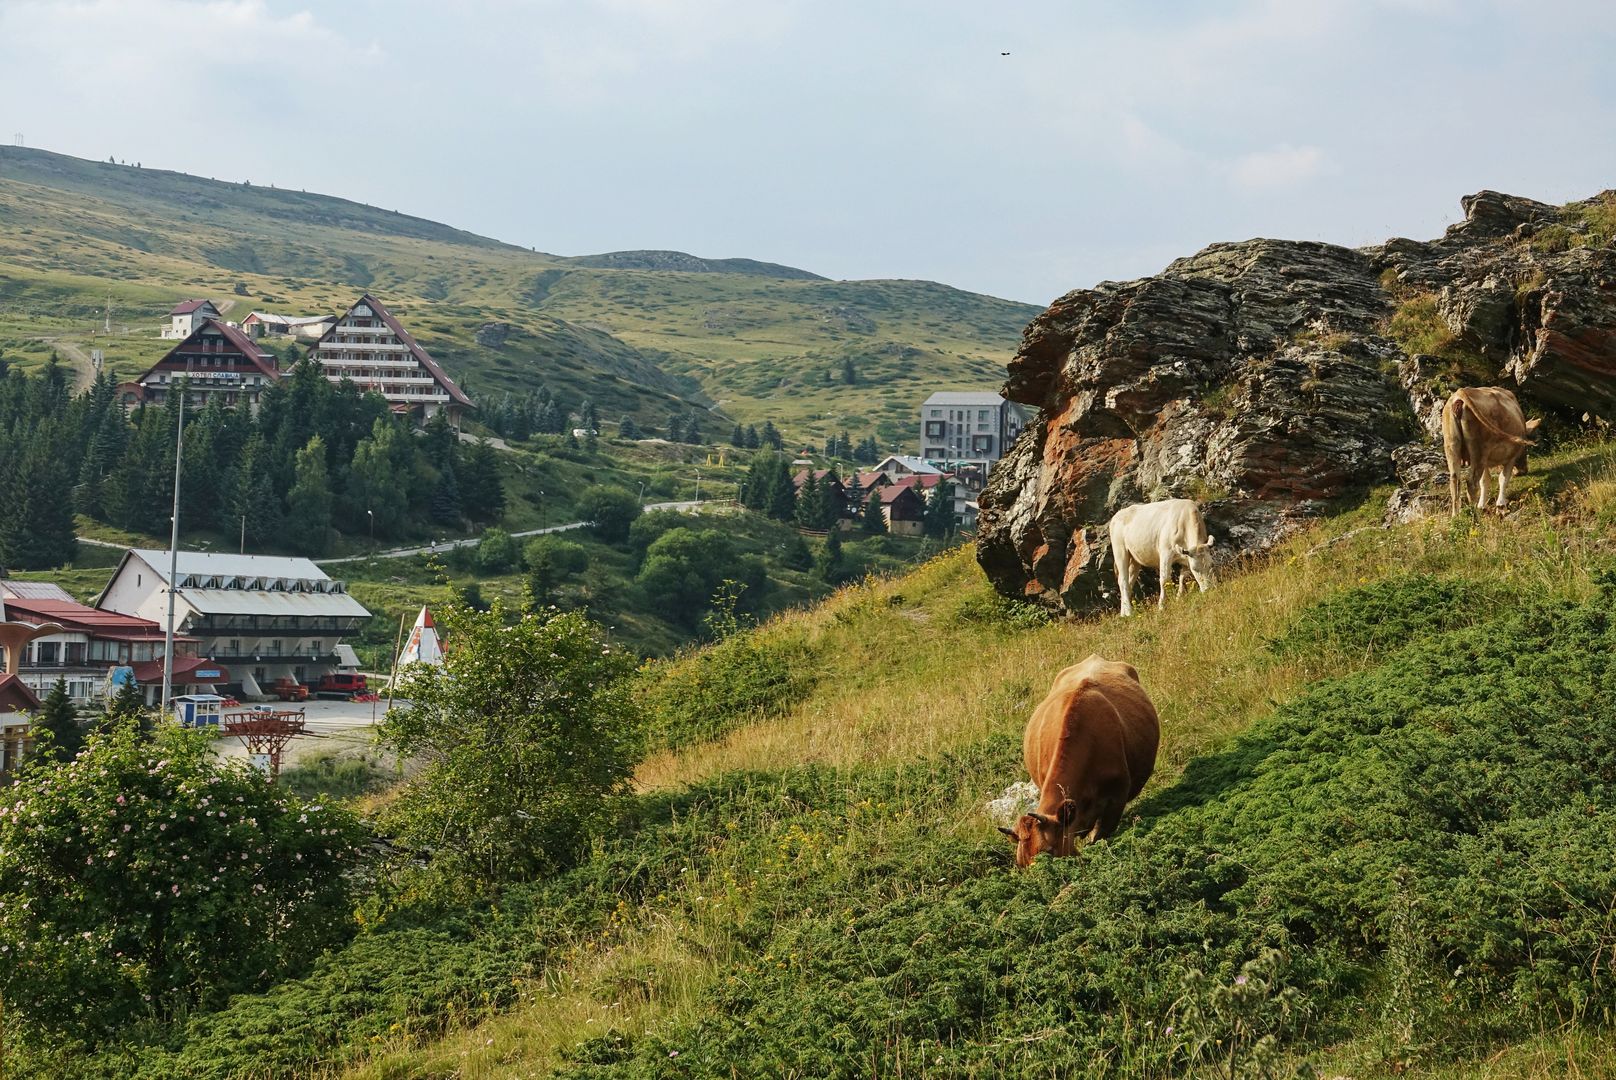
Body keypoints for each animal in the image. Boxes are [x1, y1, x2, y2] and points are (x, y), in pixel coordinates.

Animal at [1447, 386, 1544, 517]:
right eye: (1526, 447)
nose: (1523, 470)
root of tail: (1461, 393)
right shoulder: (1511, 457)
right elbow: (1503, 478)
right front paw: (1501, 506)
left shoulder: (1487, 461)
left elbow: (1485, 481)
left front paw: (1482, 506)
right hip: (1479, 452)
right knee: (1471, 482)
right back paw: (1474, 514)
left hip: (1452, 447)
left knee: (1455, 480)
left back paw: (1455, 516)